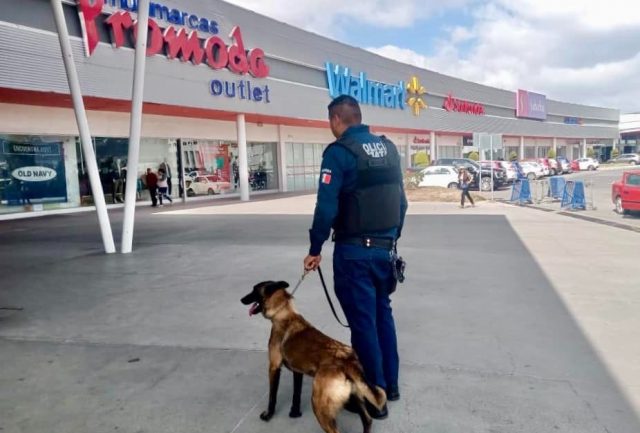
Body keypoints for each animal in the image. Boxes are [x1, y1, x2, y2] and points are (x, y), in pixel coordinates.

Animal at [241, 280, 387, 433]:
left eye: (254, 290)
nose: (241, 300)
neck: (284, 313)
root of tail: (348, 361)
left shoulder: (274, 367)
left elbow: (272, 396)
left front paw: (268, 415)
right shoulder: (297, 371)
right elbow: (296, 394)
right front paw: (295, 412)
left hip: (319, 405)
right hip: (355, 398)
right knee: (367, 420)